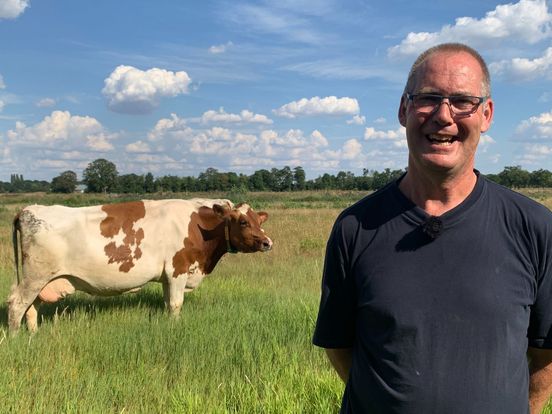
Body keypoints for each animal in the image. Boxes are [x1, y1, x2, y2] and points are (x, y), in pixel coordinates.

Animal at [8, 199, 272, 332]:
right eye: (242, 222)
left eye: (258, 221)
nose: (267, 242)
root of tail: (29, 210)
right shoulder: (177, 270)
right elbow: (176, 304)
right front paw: (175, 328)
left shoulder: (167, 277)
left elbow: (167, 303)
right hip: (35, 276)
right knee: (16, 303)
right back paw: (15, 337)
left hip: (41, 280)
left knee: (31, 307)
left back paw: (33, 334)